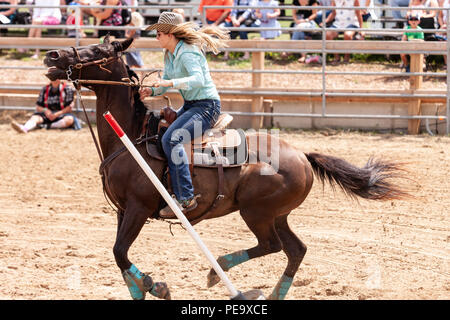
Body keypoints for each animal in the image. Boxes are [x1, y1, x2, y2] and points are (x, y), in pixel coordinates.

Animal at [44, 37, 410, 300]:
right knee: (295, 250)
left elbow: (120, 252)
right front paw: (147, 287)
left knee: (271, 246)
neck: (132, 136)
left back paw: (218, 270)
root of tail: (301, 155)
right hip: (278, 214)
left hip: (256, 211)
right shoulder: (123, 210)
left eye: (97, 50)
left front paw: (155, 285)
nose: (50, 56)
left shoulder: (138, 207)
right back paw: (273, 294)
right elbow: (119, 255)